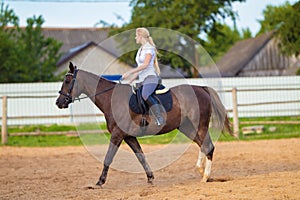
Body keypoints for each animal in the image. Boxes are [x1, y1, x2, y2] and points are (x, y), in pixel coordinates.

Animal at [56, 62, 233, 186]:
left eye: (67, 81)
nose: (59, 102)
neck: (112, 99)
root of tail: (202, 88)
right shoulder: (128, 137)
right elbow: (140, 156)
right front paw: (150, 178)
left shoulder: (117, 135)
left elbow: (108, 158)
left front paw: (100, 181)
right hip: (188, 128)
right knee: (203, 145)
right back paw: (203, 173)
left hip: (199, 125)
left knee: (208, 146)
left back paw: (205, 176)